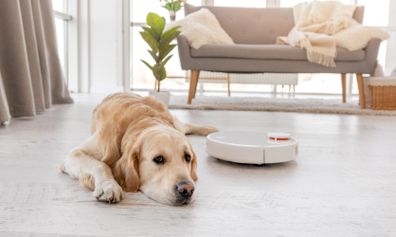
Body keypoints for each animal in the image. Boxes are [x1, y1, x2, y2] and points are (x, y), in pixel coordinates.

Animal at [59, 93, 217, 205]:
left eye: (187, 157)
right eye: (159, 159)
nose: (187, 189)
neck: (139, 120)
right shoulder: (73, 155)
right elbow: (101, 165)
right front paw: (108, 186)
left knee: (186, 125)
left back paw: (210, 129)